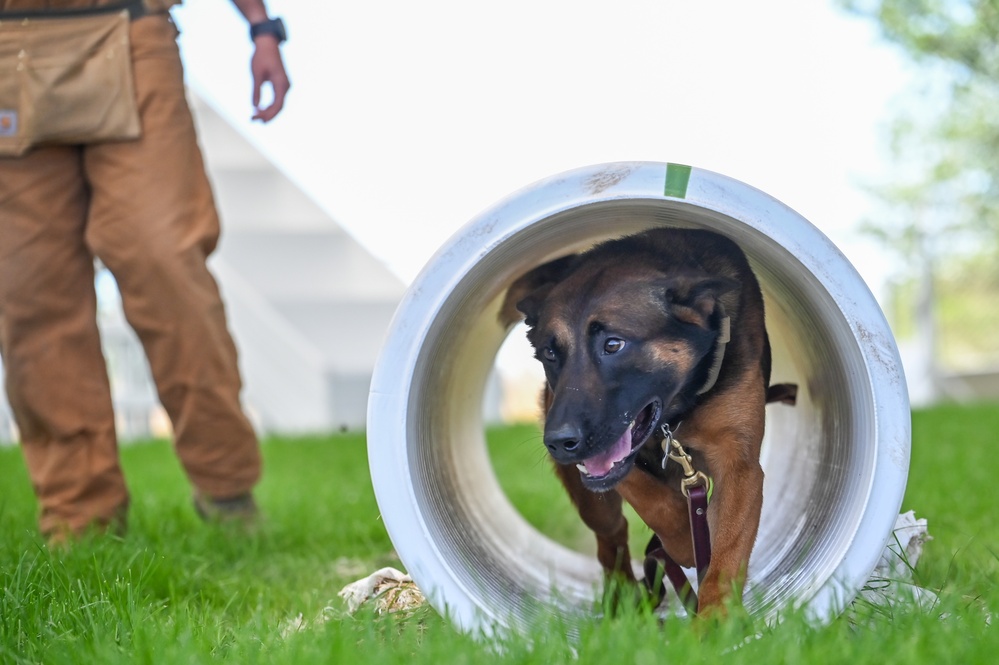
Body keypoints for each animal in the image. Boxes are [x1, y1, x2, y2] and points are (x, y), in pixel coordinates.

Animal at [504, 227, 792, 612]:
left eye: (613, 345)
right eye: (550, 353)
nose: (558, 443)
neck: (675, 412)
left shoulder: (739, 466)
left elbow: (726, 559)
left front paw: (715, 623)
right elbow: (647, 494)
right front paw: (684, 539)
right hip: (594, 505)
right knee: (611, 538)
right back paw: (622, 603)